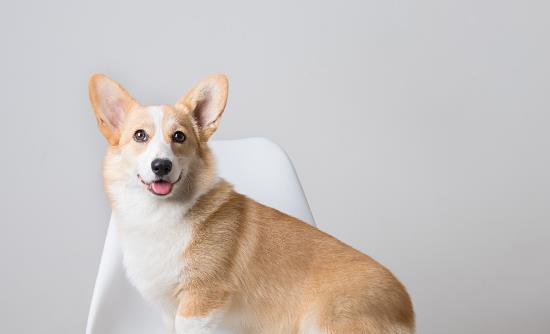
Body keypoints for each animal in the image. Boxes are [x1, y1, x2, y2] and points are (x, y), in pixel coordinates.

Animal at [88, 73, 416, 334]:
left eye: (179, 136)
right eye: (139, 136)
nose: (161, 166)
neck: (159, 215)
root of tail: (407, 307)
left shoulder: (200, 304)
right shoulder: (171, 311)